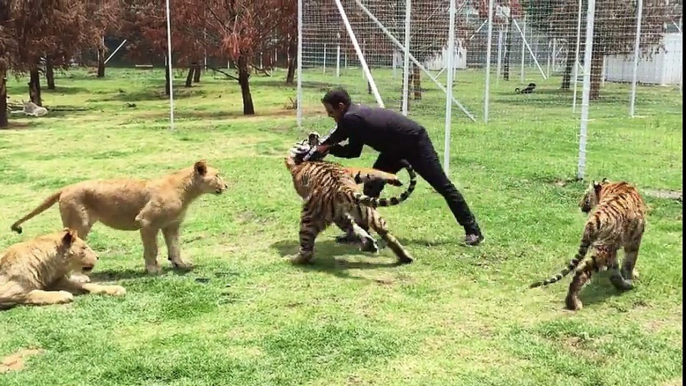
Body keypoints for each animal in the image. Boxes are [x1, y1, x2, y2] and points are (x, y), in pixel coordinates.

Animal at [8, 160, 228, 278]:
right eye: (217, 175)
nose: (227, 185)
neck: (187, 190)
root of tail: (66, 188)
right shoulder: (147, 221)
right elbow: (152, 249)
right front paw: (152, 269)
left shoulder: (172, 226)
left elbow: (175, 247)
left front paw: (181, 264)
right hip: (79, 224)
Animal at [284, 131, 420, 264]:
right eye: (304, 141)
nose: (314, 134)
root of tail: (344, 190)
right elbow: (371, 172)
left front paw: (395, 179)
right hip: (322, 216)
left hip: (344, 214)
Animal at [528, 179, 648, 310]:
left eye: (585, 196)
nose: (579, 204)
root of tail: (592, 221)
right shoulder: (635, 239)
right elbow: (629, 262)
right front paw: (632, 276)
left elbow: (618, 266)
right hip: (604, 250)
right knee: (581, 271)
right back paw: (574, 303)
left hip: (606, 248)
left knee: (608, 274)